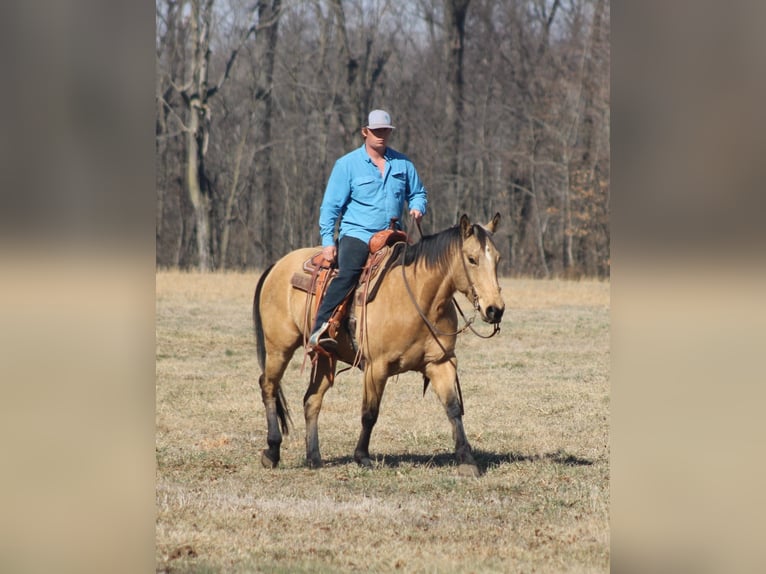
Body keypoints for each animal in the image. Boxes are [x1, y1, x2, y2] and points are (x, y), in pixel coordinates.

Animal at [250, 214, 504, 480]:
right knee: (268, 386)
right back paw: (272, 451)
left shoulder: (440, 363)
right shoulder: (376, 367)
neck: (417, 296)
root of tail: (277, 265)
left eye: (497, 259)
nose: (495, 310)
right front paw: (362, 456)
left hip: (325, 358)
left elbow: (453, 408)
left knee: (312, 399)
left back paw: (314, 457)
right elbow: (370, 413)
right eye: (472, 259)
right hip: (279, 347)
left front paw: (466, 459)